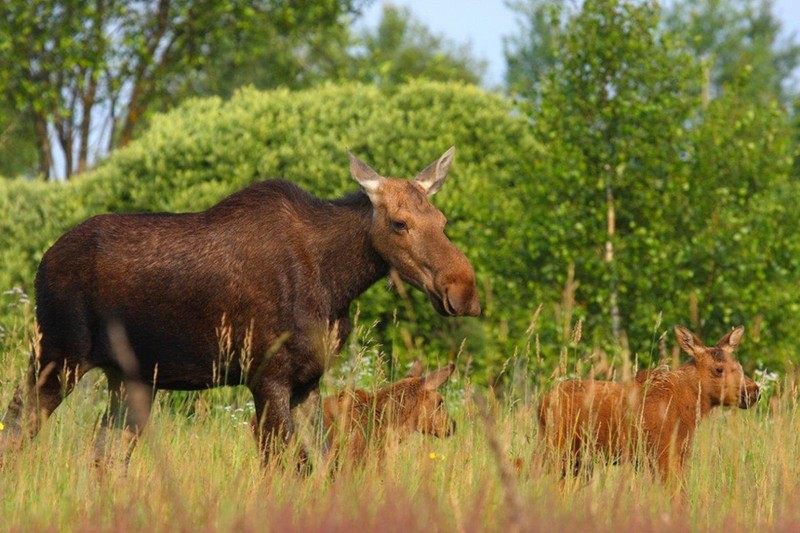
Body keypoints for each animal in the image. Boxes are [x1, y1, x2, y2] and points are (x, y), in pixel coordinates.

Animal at [0, 147, 478, 466]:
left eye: (442, 221)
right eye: (399, 223)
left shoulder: (308, 381)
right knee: (19, 426)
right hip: (58, 355)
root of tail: (44, 262)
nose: (464, 290)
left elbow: (322, 463)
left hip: (129, 376)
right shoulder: (267, 377)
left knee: (105, 455)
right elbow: (288, 464)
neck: (336, 283)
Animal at [540, 324, 760, 482]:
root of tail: (541, 403)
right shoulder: (663, 454)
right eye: (719, 369)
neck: (689, 405)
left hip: (578, 460)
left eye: (738, 365)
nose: (754, 391)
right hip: (557, 448)